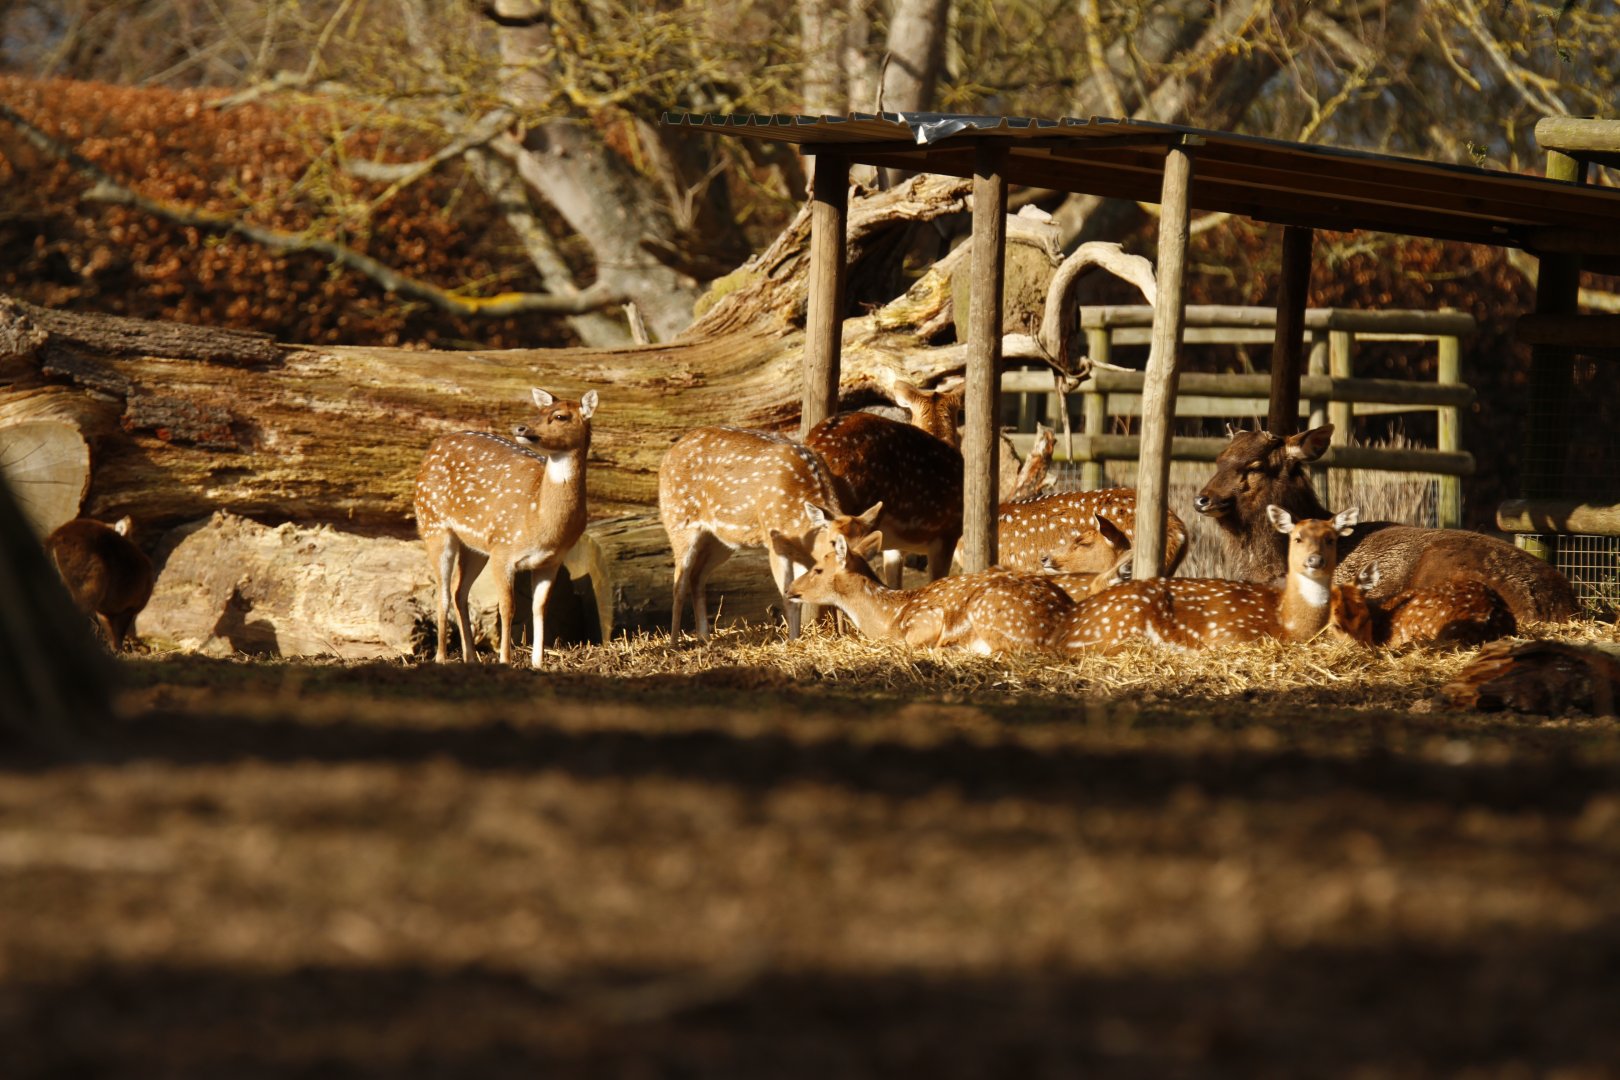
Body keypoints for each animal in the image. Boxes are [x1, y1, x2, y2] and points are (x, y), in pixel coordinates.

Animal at [415, 387, 596, 667]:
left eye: (560, 416)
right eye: (539, 410)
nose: (521, 427)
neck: (540, 519)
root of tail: (432, 448)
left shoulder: (551, 560)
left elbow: (539, 607)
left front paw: (538, 663)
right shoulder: (503, 549)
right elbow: (507, 607)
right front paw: (505, 660)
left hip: (475, 546)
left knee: (458, 590)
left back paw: (471, 657)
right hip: (433, 524)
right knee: (443, 593)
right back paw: (442, 658)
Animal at [658, 425, 882, 642]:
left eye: (867, 542)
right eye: (834, 542)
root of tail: (667, 456)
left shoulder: (800, 554)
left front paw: (836, 635)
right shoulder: (775, 540)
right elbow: (788, 595)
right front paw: (792, 640)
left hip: (720, 541)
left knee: (697, 576)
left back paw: (704, 638)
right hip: (678, 521)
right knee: (680, 582)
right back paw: (674, 642)